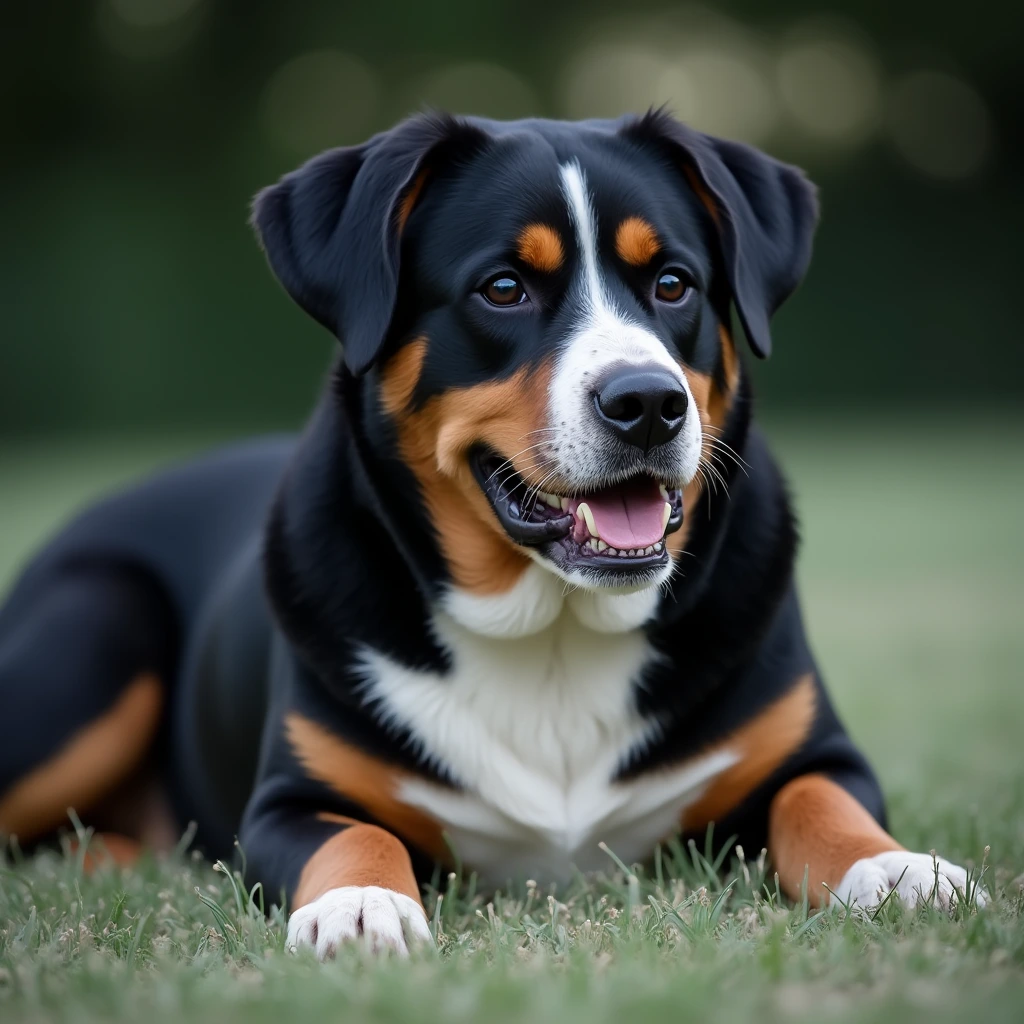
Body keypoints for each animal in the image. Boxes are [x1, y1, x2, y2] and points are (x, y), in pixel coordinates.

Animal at [0, 112, 983, 958]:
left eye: (672, 283)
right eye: (504, 288)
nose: (648, 402)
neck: (554, 629)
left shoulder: (813, 751)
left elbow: (822, 806)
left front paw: (901, 871)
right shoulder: (289, 800)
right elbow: (351, 837)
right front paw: (362, 907)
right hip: (98, 627)